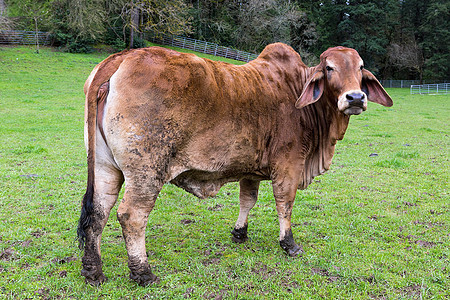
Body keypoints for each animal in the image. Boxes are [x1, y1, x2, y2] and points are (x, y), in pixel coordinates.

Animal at [79, 42, 392, 286]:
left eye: (361, 67)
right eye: (329, 68)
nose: (355, 97)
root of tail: (122, 57)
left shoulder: (249, 169)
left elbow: (247, 200)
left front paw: (240, 233)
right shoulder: (289, 165)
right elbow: (285, 204)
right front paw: (289, 243)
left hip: (106, 168)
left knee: (98, 211)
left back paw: (93, 271)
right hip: (146, 171)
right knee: (131, 216)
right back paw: (143, 273)